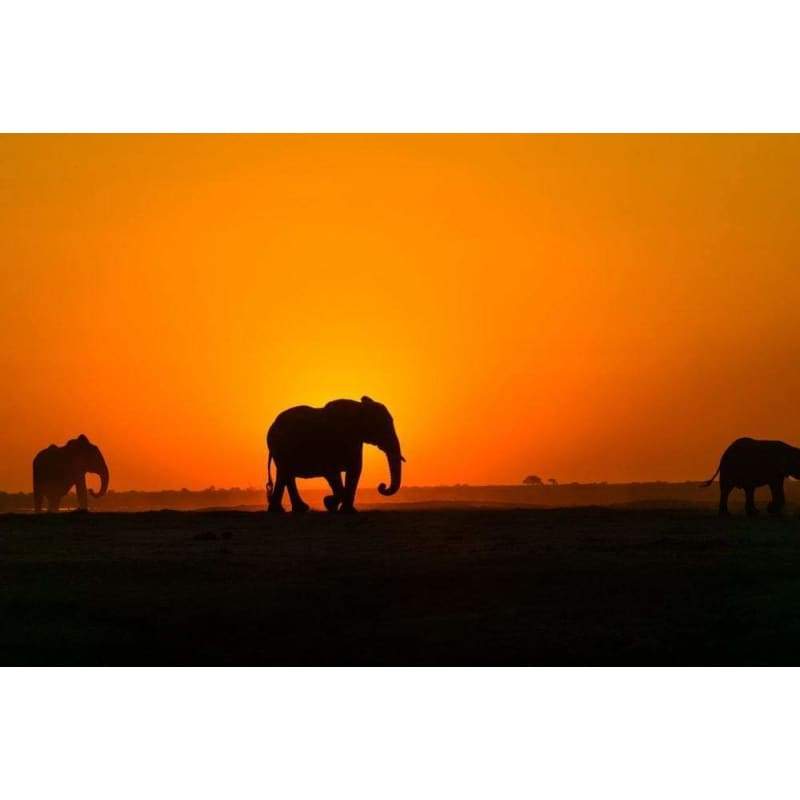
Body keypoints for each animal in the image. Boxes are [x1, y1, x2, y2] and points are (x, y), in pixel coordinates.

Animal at [266, 396, 404, 513]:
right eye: (382, 425)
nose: (382, 486)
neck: (360, 408)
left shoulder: (355, 440)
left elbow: (354, 470)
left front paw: (343, 509)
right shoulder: (334, 441)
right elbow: (333, 472)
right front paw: (331, 503)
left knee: (284, 474)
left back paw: (287, 510)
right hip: (281, 447)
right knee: (286, 473)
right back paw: (291, 510)